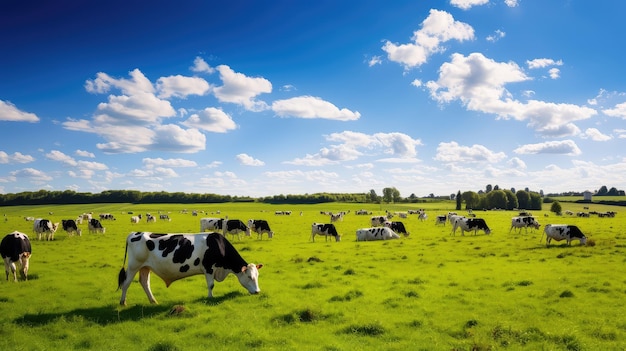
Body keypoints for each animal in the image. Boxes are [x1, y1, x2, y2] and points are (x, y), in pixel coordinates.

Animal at [117, 231, 260, 306]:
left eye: (257, 276)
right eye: (249, 276)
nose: (258, 291)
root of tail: (135, 233)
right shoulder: (208, 268)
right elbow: (211, 285)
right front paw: (210, 297)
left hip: (145, 267)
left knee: (144, 282)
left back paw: (153, 301)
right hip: (133, 266)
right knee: (126, 283)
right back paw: (123, 302)